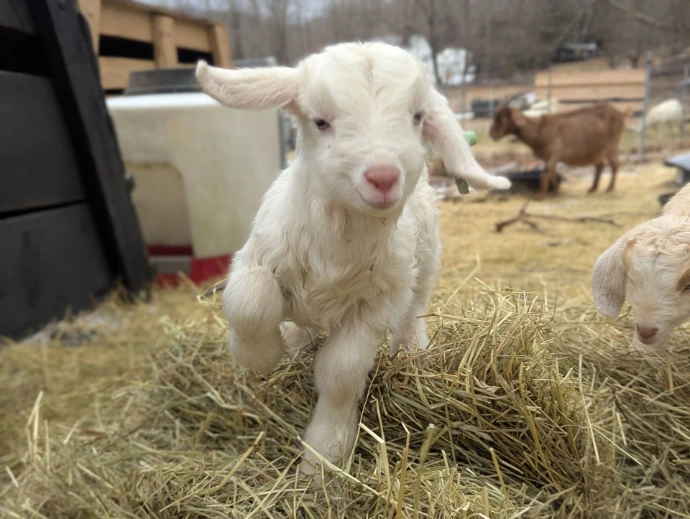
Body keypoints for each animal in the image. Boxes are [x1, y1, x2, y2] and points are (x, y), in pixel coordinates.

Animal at [195, 42, 510, 479]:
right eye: (321, 122)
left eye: (417, 117)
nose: (382, 177)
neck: (337, 250)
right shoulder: (257, 257)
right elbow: (251, 302)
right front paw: (261, 356)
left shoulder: (374, 305)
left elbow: (341, 372)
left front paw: (323, 457)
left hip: (423, 270)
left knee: (414, 311)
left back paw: (412, 351)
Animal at [489, 103, 627, 199]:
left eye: (501, 118)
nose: (491, 134)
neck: (538, 129)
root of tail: (620, 113)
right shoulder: (549, 158)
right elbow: (552, 173)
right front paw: (555, 191)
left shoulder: (554, 154)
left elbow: (545, 175)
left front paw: (540, 195)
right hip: (598, 150)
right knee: (600, 165)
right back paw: (593, 188)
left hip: (611, 145)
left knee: (615, 164)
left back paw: (610, 188)